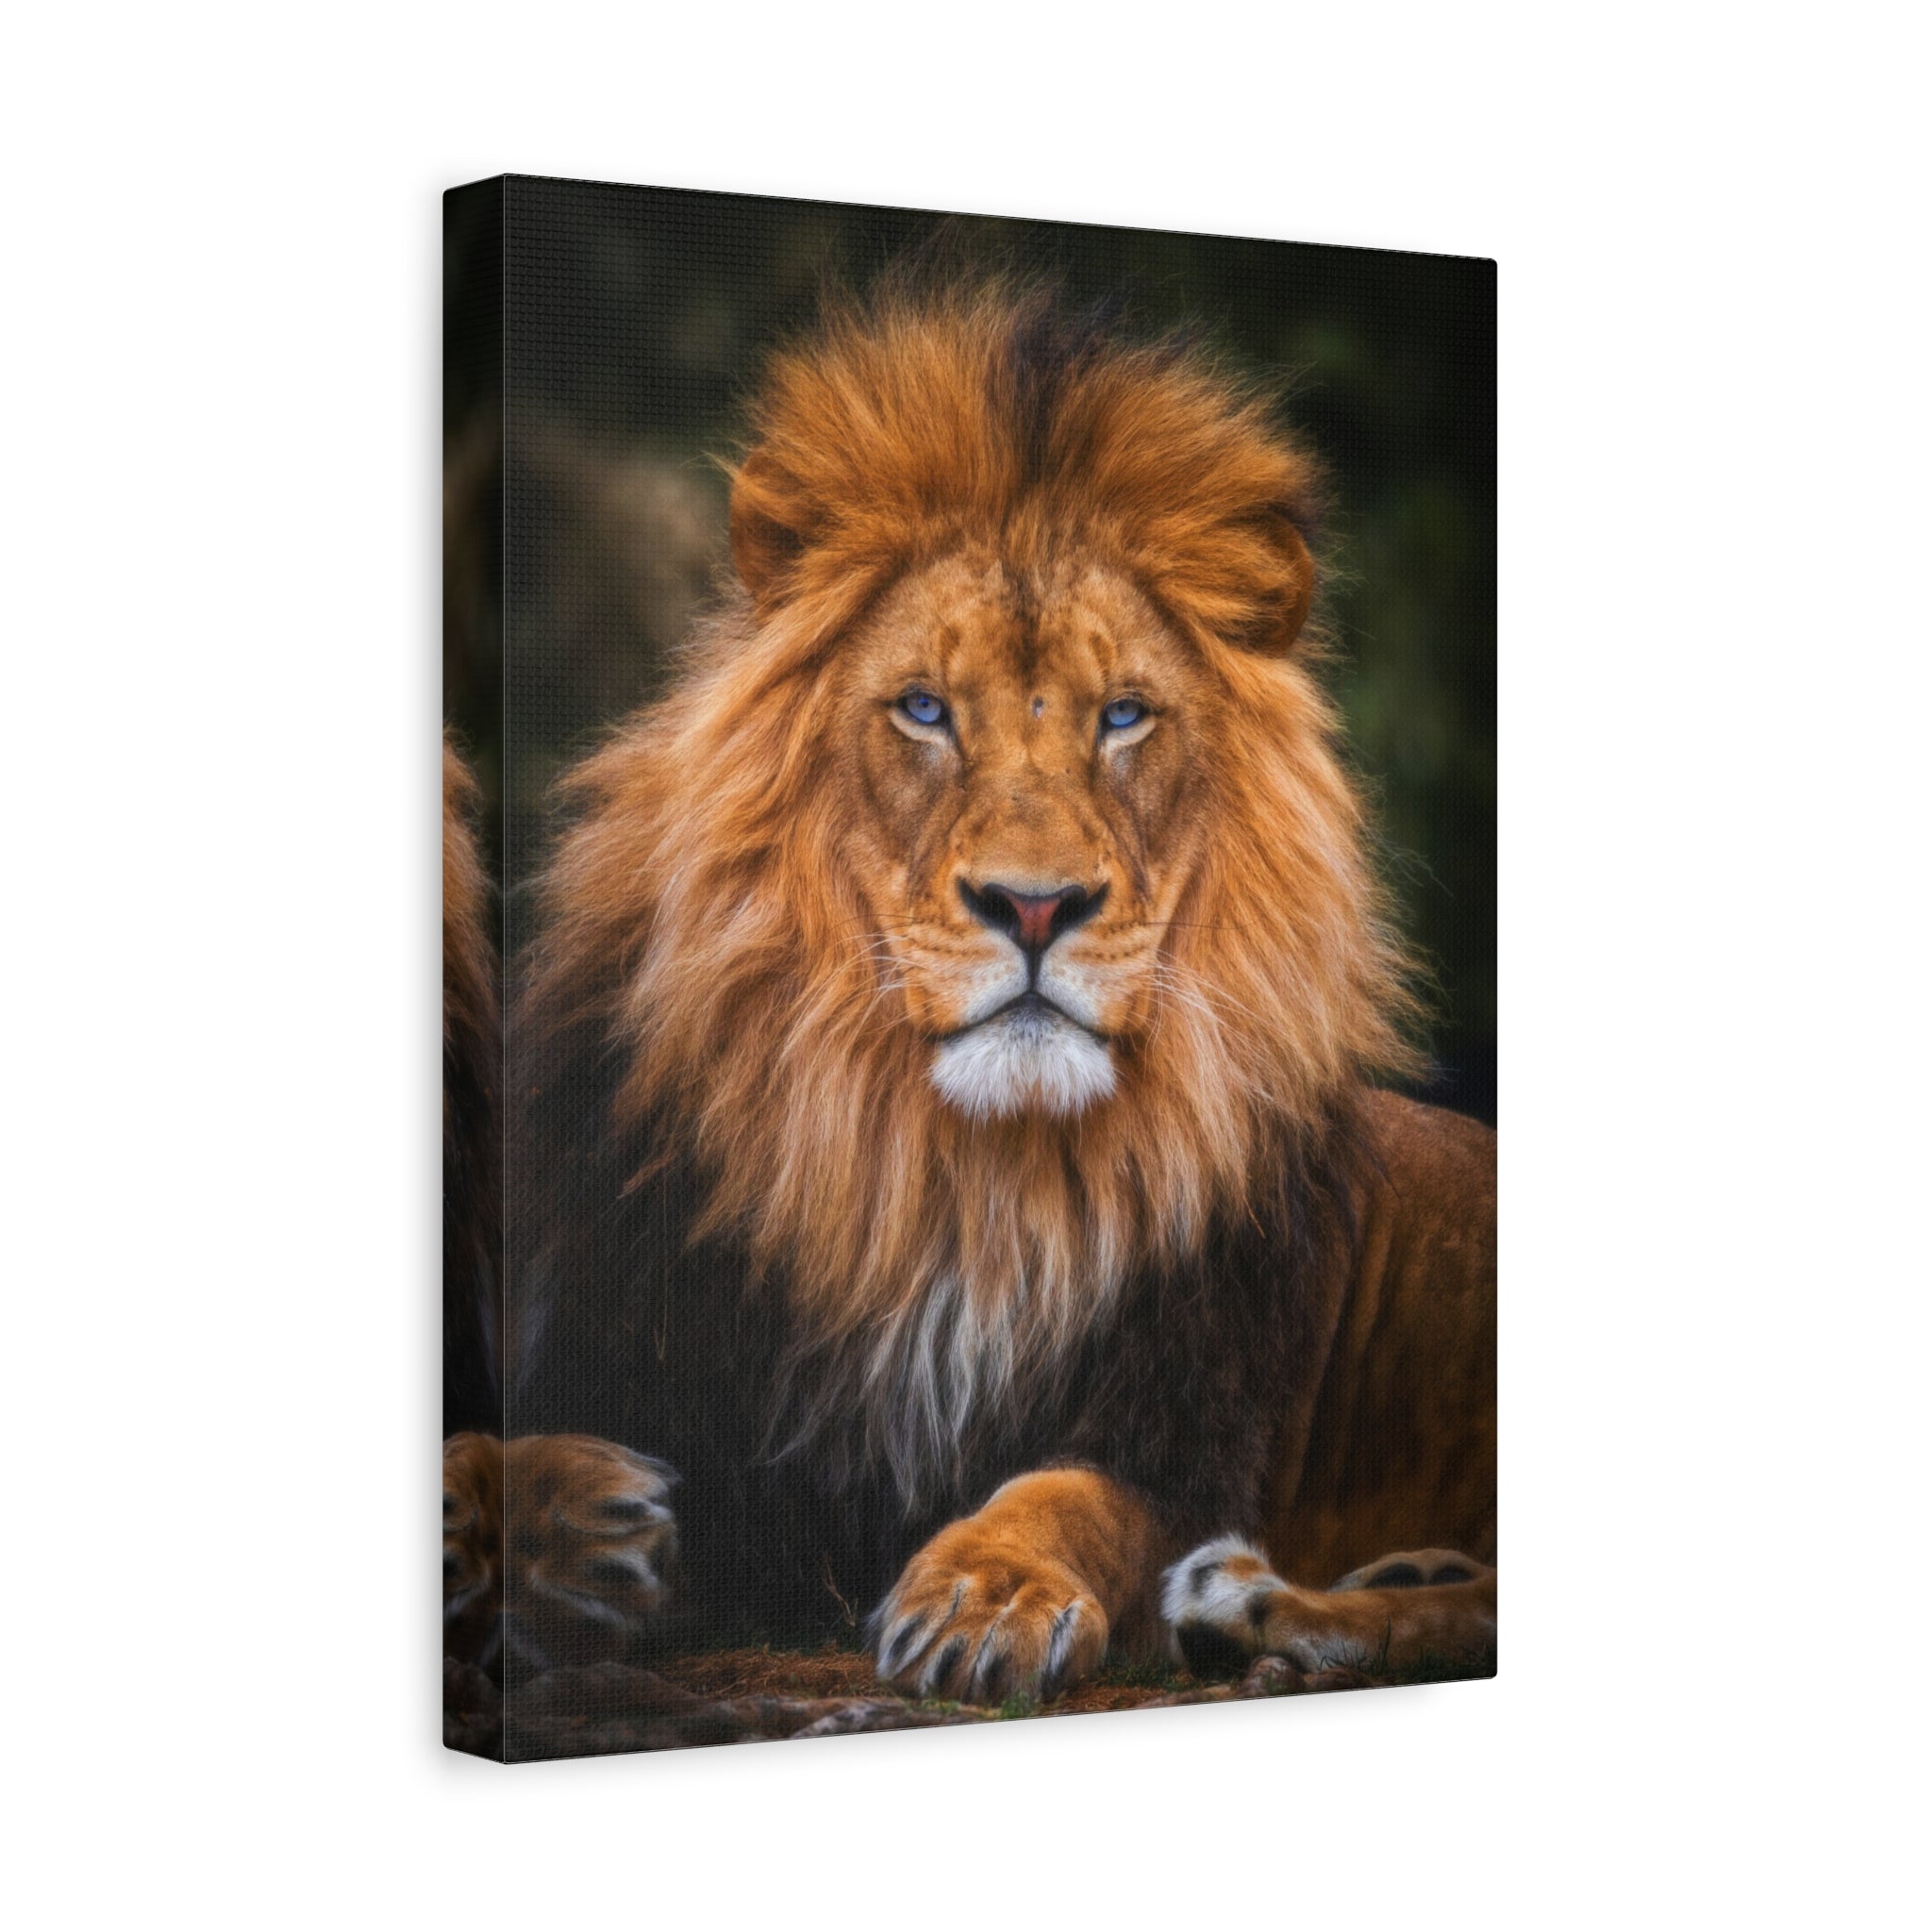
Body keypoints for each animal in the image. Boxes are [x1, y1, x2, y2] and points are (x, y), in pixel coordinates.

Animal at [446, 281, 1496, 1708]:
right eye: (925, 710)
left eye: (1124, 717)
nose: (1035, 906)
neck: (958, 1180)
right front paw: (554, 1524)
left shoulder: (1188, 1426)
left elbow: (1071, 1496)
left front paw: (985, 1593)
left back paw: (1257, 1606)